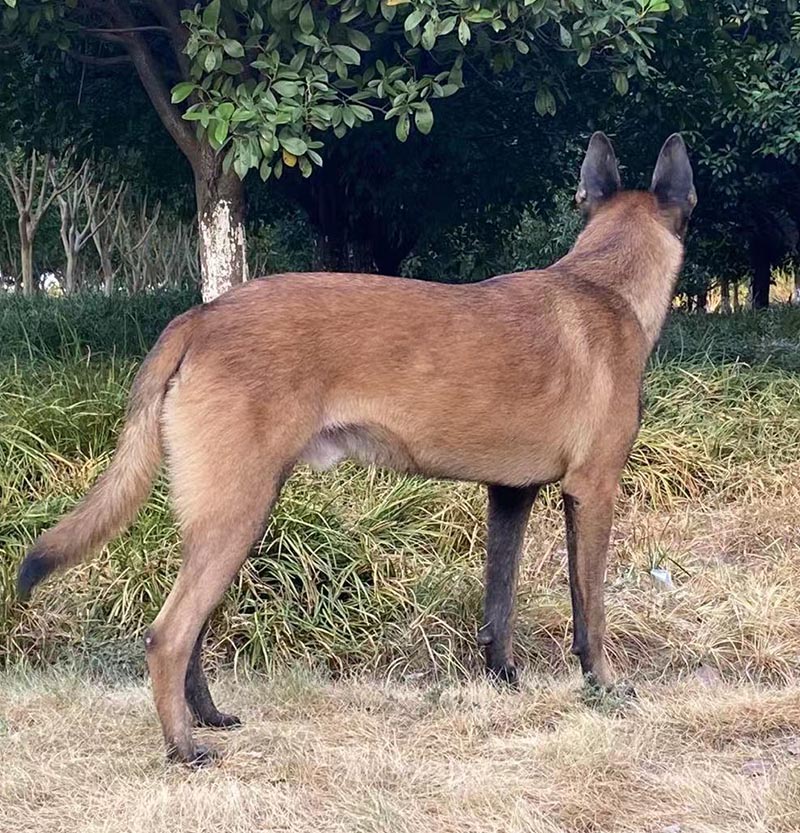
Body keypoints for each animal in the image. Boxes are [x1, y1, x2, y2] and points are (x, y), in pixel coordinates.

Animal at [18, 133, 692, 764]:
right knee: (169, 634)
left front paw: (504, 680)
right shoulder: (593, 491)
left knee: (194, 630)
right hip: (239, 511)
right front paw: (603, 685)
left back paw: (207, 717)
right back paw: (185, 747)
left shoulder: (511, 495)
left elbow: (498, 608)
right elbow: (591, 609)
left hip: (229, 516)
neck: (606, 284)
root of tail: (201, 317)